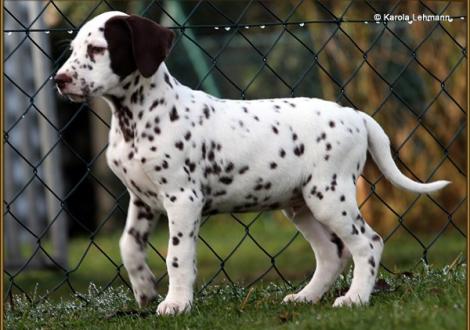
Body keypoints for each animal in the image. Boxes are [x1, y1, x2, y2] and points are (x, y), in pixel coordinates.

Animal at [53, 11, 450, 316]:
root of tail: (355, 115)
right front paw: (145, 288)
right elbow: (128, 245)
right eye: (72, 50)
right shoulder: (143, 200)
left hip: (329, 195)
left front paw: (176, 303)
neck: (134, 118)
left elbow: (177, 256)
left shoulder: (182, 199)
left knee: (368, 243)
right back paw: (306, 297)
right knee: (330, 254)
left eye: (97, 49)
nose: (59, 80)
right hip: (301, 205)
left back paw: (354, 298)